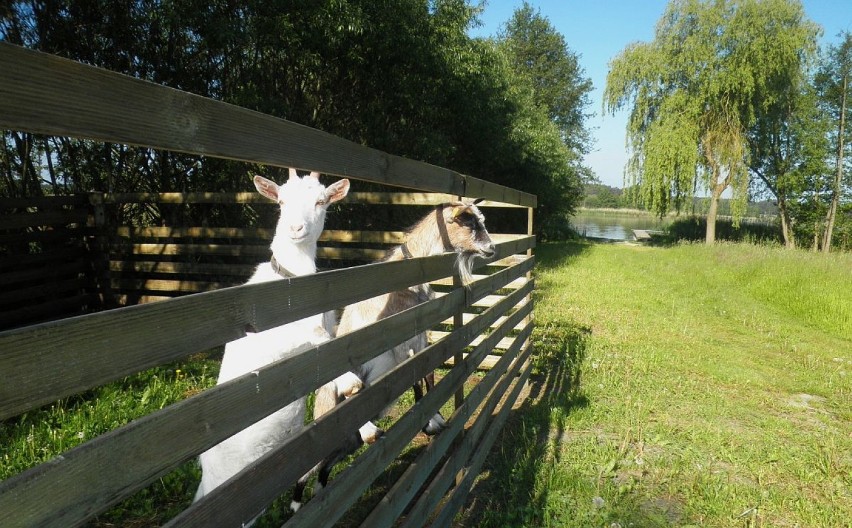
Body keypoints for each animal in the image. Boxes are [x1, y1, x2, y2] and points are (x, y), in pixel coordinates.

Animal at [193, 171, 350, 516]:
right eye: (281, 201)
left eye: (321, 201)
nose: (296, 229)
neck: (290, 278)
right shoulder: (288, 335)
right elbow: (321, 340)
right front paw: (350, 380)